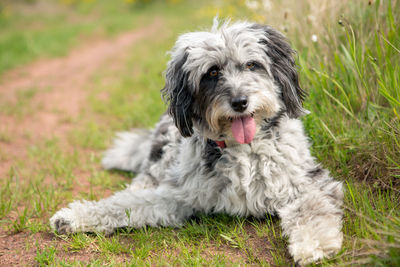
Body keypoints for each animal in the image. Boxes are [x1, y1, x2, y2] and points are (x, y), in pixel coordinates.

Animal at [50, 19, 344, 266]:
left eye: (252, 65)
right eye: (212, 73)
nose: (240, 102)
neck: (242, 149)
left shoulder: (306, 182)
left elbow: (313, 211)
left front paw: (314, 244)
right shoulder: (178, 194)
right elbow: (125, 204)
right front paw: (75, 216)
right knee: (140, 182)